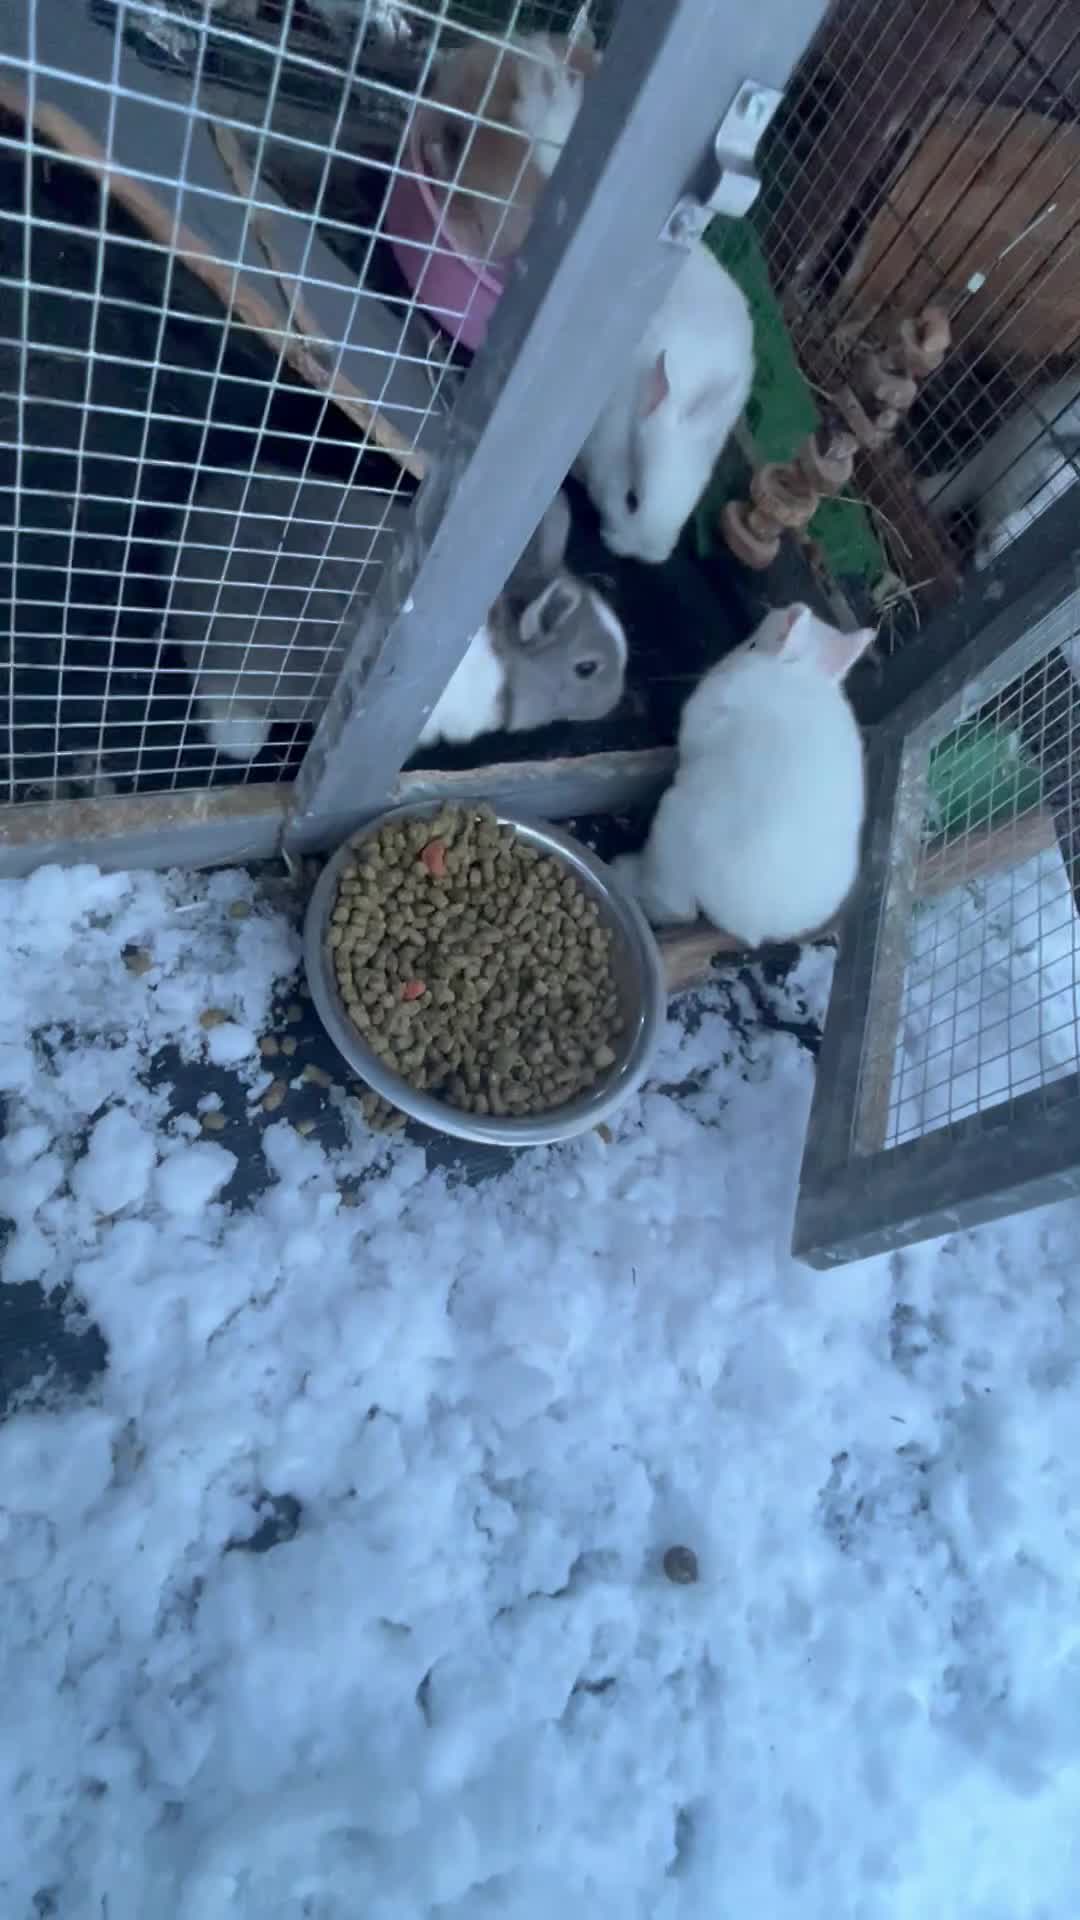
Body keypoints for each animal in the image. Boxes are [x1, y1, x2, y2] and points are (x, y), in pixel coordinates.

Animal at [612, 603, 875, 947]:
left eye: (752, 645)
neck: (798, 675)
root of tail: (749, 924)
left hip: (670, 832)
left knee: (676, 909)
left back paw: (622, 870)